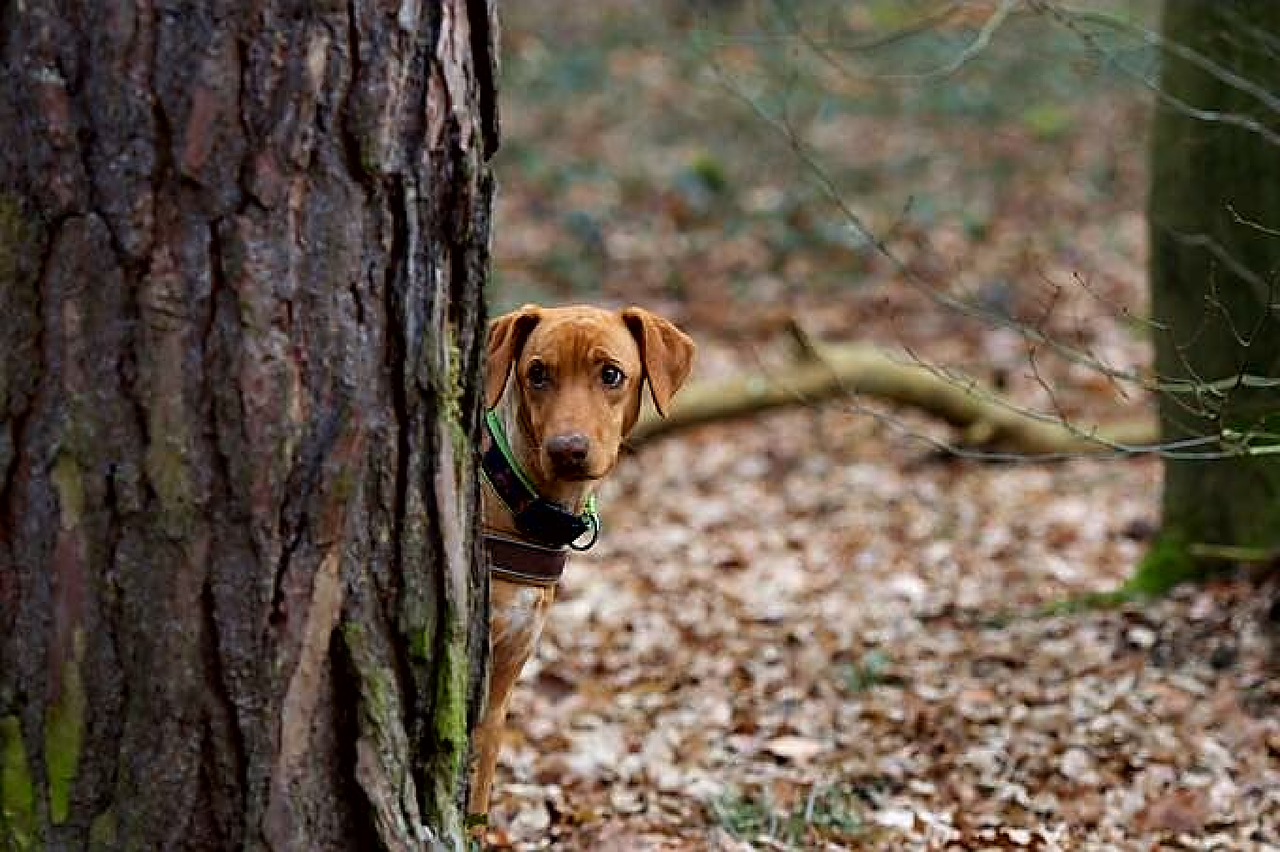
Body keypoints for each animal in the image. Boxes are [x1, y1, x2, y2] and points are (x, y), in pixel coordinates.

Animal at [468, 301, 696, 818]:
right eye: (537, 373)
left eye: (611, 374)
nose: (566, 450)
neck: (517, 497)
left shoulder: (503, 680)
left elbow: (477, 796)